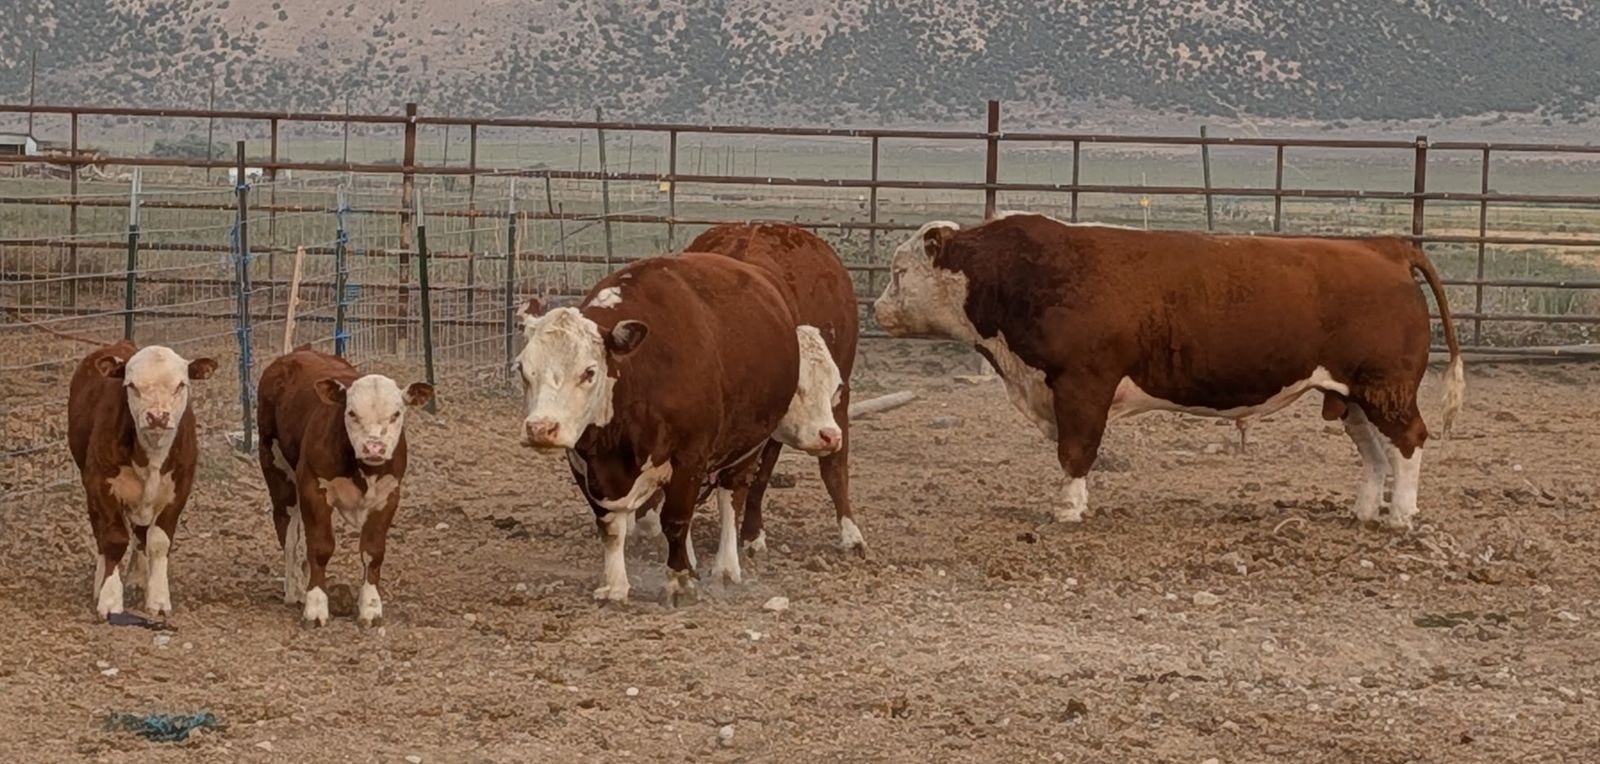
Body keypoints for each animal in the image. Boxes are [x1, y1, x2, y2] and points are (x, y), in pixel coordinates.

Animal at [68, 341, 217, 619]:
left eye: (181, 384)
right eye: (132, 385)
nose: (157, 417)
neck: (151, 457)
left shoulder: (178, 490)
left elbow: (158, 542)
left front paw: (158, 598)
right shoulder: (100, 484)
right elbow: (113, 539)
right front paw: (109, 598)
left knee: (140, 534)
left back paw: (138, 579)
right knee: (104, 535)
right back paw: (100, 583)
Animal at [256, 347, 434, 626]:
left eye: (396, 414)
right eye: (351, 413)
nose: (374, 447)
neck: (364, 470)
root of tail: (298, 353)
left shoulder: (388, 496)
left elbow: (373, 551)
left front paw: (371, 607)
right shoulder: (314, 488)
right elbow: (320, 547)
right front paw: (316, 606)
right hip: (275, 464)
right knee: (288, 530)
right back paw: (294, 589)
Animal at [514, 253, 844, 605]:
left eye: (589, 372)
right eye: (522, 368)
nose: (541, 428)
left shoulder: (690, 457)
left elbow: (675, 520)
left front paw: (678, 581)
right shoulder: (584, 462)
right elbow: (610, 526)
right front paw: (616, 584)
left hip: (746, 448)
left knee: (731, 500)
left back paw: (726, 568)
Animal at [872, 213, 1465, 530]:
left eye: (899, 271)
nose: (877, 309)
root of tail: (1384, 247)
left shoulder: (1083, 384)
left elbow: (1075, 450)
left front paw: (1067, 508)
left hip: (1386, 388)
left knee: (1409, 440)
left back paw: (1400, 515)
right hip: (1351, 394)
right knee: (1374, 452)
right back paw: (1364, 510)